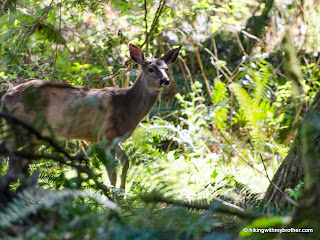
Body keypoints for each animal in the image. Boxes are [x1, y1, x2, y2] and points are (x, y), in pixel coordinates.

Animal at [0, 43, 181, 189]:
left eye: (166, 69)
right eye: (150, 69)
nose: (165, 81)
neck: (127, 106)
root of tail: (5, 97)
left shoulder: (114, 138)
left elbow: (126, 162)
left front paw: (123, 193)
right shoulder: (106, 134)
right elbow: (112, 172)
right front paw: (113, 197)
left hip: (37, 134)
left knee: (18, 158)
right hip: (22, 125)